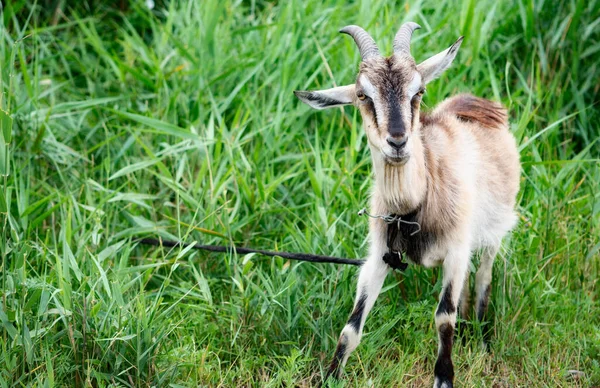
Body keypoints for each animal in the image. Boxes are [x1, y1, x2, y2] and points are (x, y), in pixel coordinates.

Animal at [296, 24, 520, 388]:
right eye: (363, 95)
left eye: (419, 90)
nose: (398, 141)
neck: (413, 206)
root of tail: (480, 103)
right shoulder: (379, 256)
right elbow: (351, 326)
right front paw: (330, 377)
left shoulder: (456, 250)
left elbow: (444, 316)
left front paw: (444, 377)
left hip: (494, 231)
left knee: (483, 278)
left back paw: (483, 339)